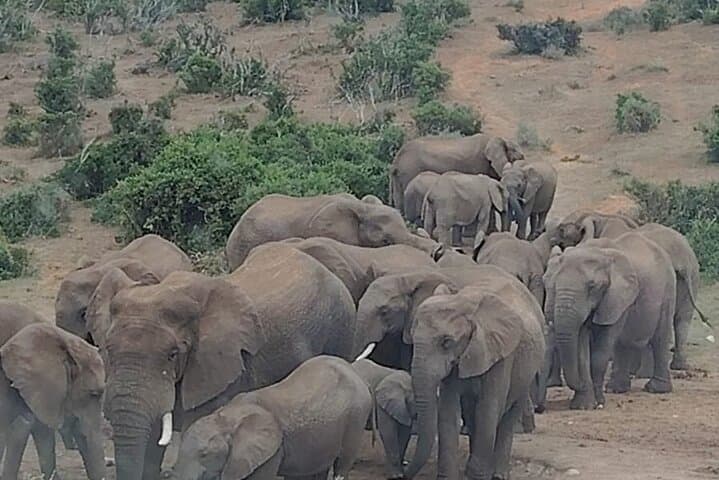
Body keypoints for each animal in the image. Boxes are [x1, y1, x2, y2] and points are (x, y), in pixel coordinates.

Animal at [166, 355, 371, 480]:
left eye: (204, 454)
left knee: (342, 463)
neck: (228, 418)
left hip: (356, 417)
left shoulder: (271, 453)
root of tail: (353, 371)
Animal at [390, 134, 524, 212]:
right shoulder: (479, 164)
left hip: (400, 176)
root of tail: (396, 159)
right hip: (410, 171)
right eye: (514, 151)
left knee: (399, 200)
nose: (523, 157)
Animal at [404, 282, 545, 480]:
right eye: (413, 337)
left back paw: (498, 474)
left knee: (509, 415)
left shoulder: (500, 356)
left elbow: (488, 409)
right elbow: (448, 410)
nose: (402, 473)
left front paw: (478, 475)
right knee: (471, 413)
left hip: (527, 369)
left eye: (447, 342)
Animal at [543, 232, 676, 410]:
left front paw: (597, 403)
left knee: (660, 338)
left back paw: (656, 389)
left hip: (668, 289)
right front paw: (584, 406)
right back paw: (616, 389)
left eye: (592, 286)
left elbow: (602, 348)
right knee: (623, 343)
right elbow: (582, 346)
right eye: (551, 284)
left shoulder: (617, 296)